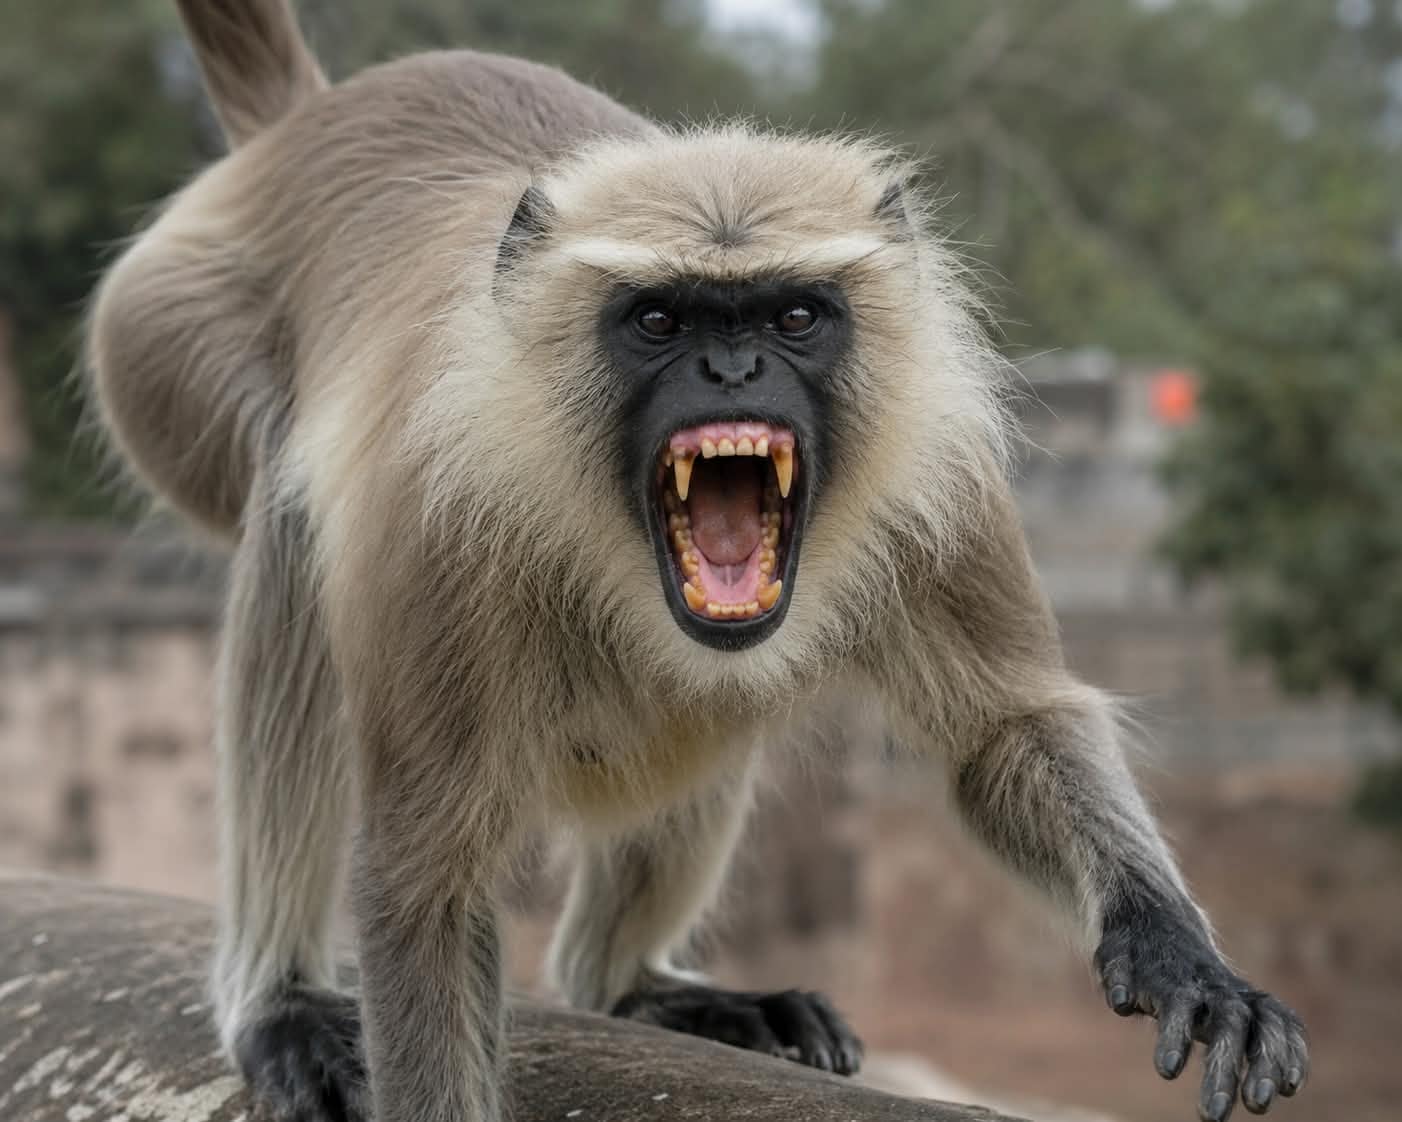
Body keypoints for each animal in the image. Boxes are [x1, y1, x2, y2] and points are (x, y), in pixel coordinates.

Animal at [84, 2, 1309, 1121]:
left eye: (794, 315)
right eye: (662, 320)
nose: (731, 370)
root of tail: (307, 124)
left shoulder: (942, 474)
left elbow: (1006, 727)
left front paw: (1174, 951)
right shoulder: (431, 516)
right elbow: (425, 876)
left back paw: (631, 986)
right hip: (165, 337)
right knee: (291, 535)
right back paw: (281, 999)